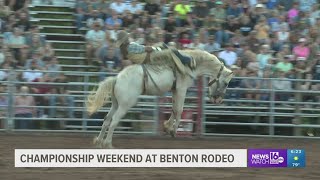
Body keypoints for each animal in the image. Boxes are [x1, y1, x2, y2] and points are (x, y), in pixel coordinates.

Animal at [86, 48, 234, 148]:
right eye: (226, 83)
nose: (218, 100)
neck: (191, 64)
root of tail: (116, 78)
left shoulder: (175, 90)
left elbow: (174, 109)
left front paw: (167, 127)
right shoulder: (181, 89)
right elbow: (179, 110)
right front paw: (173, 130)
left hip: (116, 104)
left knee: (107, 120)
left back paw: (99, 141)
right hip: (124, 105)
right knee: (114, 120)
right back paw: (108, 143)